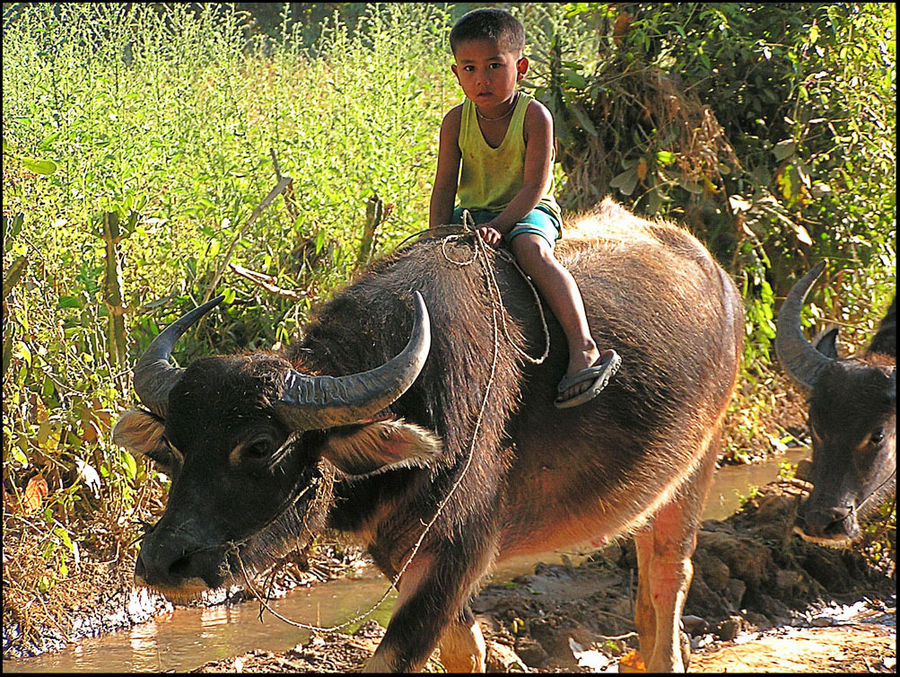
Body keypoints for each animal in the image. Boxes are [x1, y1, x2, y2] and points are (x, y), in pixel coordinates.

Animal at [114, 197, 744, 672]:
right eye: (174, 447)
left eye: (259, 446)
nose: (163, 562)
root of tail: (720, 276)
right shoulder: (402, 550)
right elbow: (466, 650)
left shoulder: (463, 550)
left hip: (700, 461)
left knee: (668, 577)